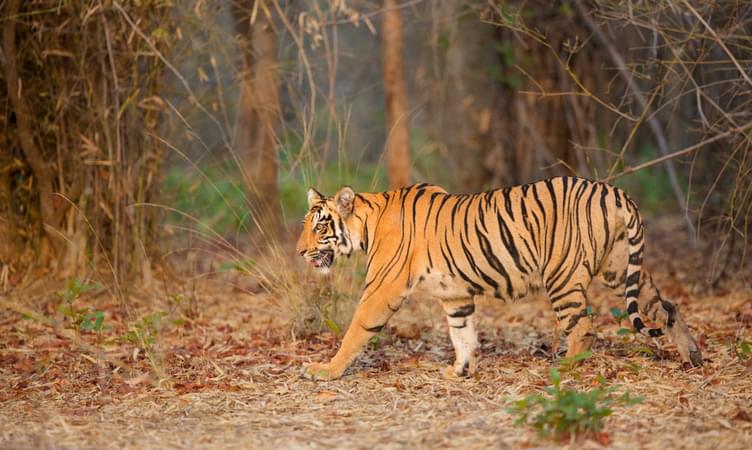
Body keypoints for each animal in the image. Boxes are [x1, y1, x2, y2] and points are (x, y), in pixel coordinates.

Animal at [296, 176, 704, 380]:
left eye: (319, 227)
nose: (300, 252)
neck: (369, 221)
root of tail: (614, 192)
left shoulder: (382, 289)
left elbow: (355, 331)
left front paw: (325, 371)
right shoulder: (455, 294)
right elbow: (462, 334)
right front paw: (459, 371)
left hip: (563, 275)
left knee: (585, 327)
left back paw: (564, 368)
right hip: (620, 268)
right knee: (667, 307)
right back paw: (693, 355)